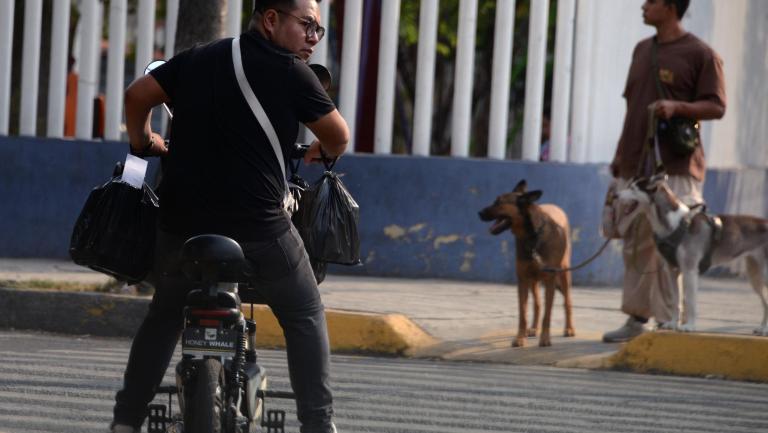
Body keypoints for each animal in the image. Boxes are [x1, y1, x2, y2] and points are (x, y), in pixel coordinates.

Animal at [476, 181, 572, 346]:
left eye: (498, 202)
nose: (479, 213)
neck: (532, 236)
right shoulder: (522, 280)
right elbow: (523, 313)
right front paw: (520, 337)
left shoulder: (550, 280)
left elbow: (548, 314)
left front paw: (545, 338)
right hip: (533, 279)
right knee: (537, 304)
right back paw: (533, 328)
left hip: (564, 273)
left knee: (567, 302)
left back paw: (569, 329)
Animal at [616, 173, 768, 334]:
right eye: (630, 185)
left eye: (633, 188)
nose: (615, 195)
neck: (675, 225)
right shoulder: (672, 271)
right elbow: (675, 301)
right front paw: (672, 323)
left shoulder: (690, 271)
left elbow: (690, 302)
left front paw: (689, 326)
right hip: (755, 275)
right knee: (765, 302)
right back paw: (762, 328)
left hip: (764, 274)